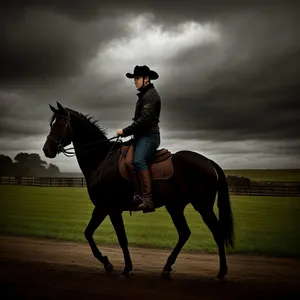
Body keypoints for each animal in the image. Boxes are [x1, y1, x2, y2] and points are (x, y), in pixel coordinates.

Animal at [42, 102, 234, 278]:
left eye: (61, 124)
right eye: (52, 124)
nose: (46, 149)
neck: (101, 160)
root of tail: (208, 161)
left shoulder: (108, 208)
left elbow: (117, 238)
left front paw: (116, 265)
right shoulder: (105, 208)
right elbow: (91, 233)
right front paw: (113, 264)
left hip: (202, 207)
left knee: (217, 233)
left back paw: (222, 271)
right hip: (175, 207)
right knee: (184, 233)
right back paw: (167, 268)